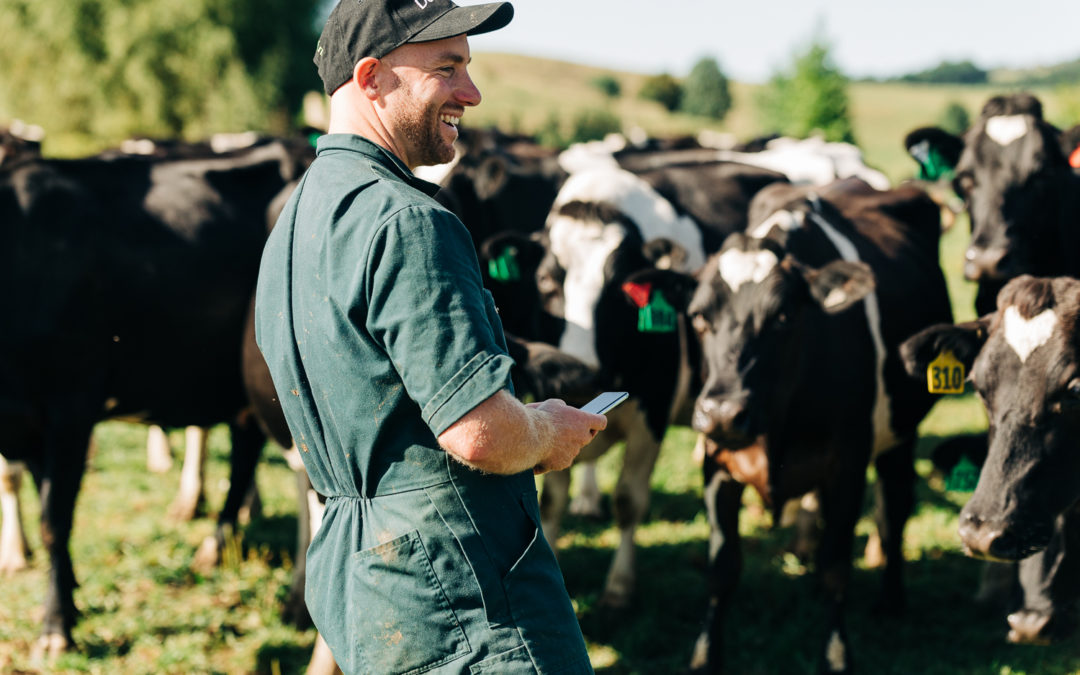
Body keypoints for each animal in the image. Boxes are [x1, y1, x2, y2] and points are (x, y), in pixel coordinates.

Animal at [1, 138, 313, 656]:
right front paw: (70, 594)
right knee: (246, 454)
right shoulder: (23, 423)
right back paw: (214, 547)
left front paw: (56, 626)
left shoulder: (72, 405)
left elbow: (54, 520)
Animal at [652, 176, 950, 669]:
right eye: (699, 318)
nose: (723, 412)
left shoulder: (847, 464)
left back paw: (891, 599)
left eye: (783, 316)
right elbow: (722, 569)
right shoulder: (716, 463)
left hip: (900, 432)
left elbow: (836, 567)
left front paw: (837, 655)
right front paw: (704, 657)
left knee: (894, 507)